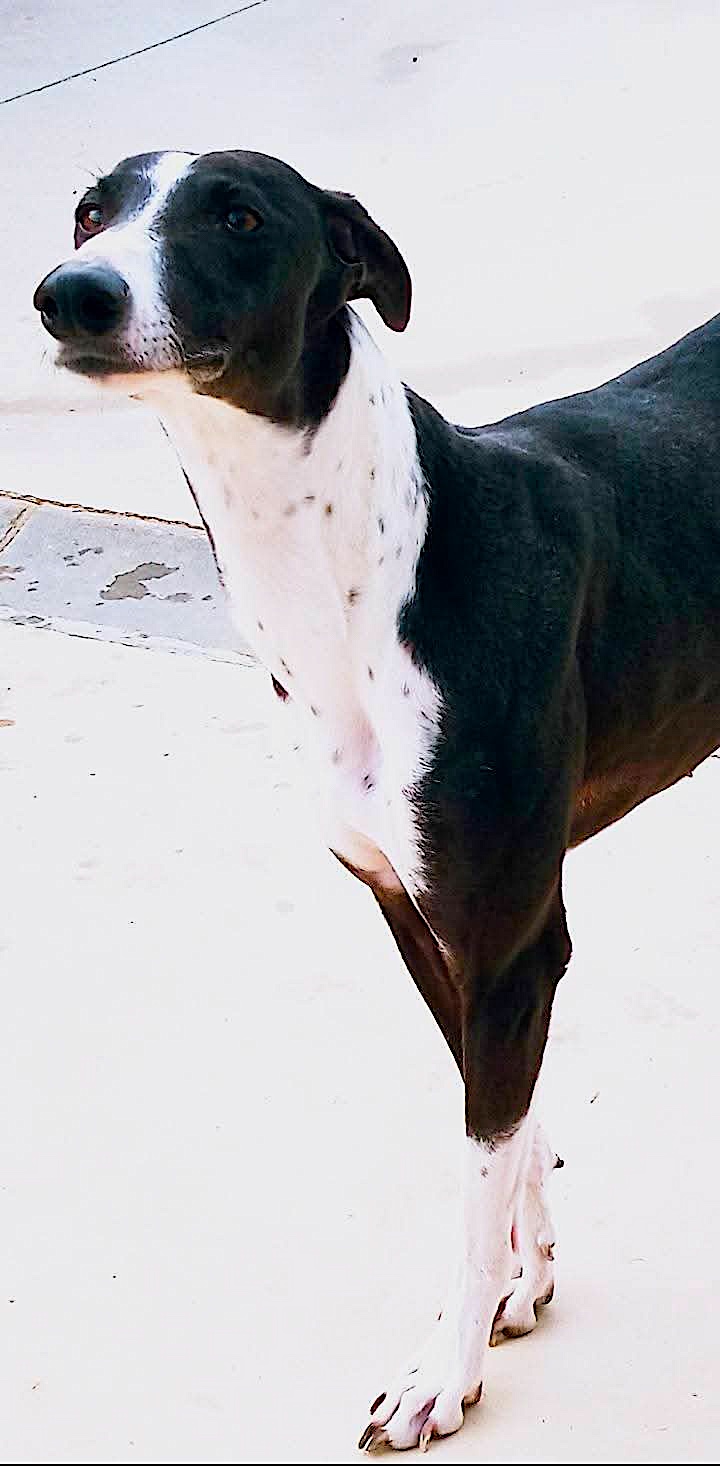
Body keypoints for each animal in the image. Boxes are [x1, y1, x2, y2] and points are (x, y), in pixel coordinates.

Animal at [34, 149, 720, 1451]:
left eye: (239, 215)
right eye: (93, 210)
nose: (70, 294)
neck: (375, 572)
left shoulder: (509, 940)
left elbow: (476, 1160)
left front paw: (441, 1370)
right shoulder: (419, 916)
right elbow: (507, 1119)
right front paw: (523, 1277)